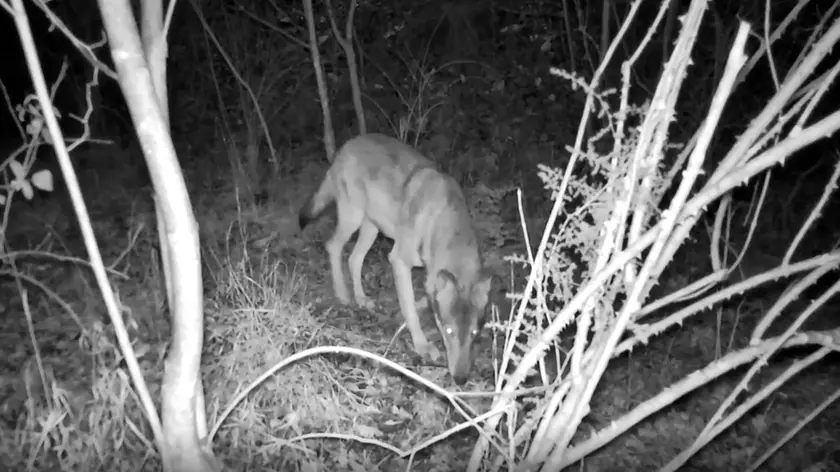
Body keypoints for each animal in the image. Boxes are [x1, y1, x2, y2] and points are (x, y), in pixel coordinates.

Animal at [298, 133, 493, 385]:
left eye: (474, 334)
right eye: (449, 331)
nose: (460, 379)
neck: (441, 219)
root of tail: (346, 145)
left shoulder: (428, 272)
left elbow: (421, 298)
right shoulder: (399, 261)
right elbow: (409, 309)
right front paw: (422, 345)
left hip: (371, 228)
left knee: (354, 259)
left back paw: (361, 299)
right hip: (353, 218)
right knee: (333, 247)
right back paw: (342, 294)